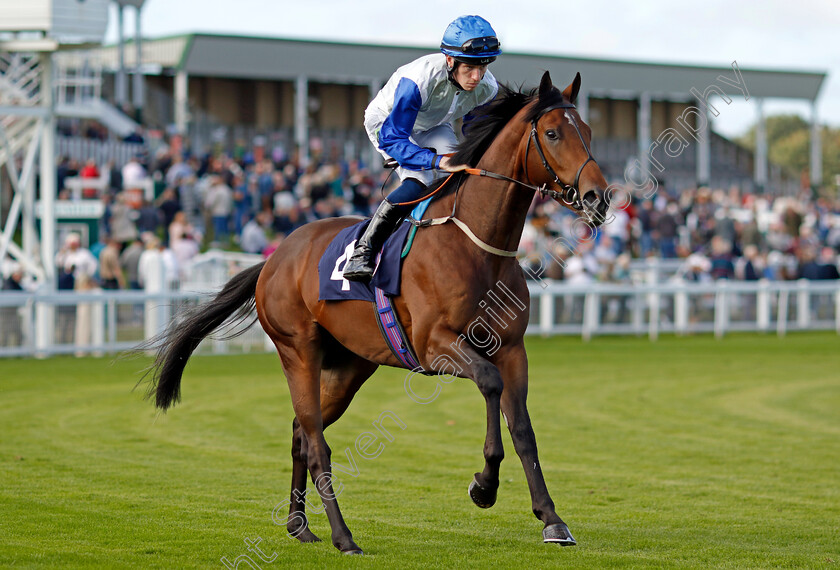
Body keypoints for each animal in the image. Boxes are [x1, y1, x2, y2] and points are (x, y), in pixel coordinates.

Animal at [148, 70, 612, 552]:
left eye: (588, 131)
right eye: (553, 133)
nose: (598, 197)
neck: (475, 245)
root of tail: (275, 258)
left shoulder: (512, 348)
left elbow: (523, 430)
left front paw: (551, 519)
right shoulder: (436, 347)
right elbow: (489, 383)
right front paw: (484, 486)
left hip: (349, 366)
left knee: (300, 432)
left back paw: (299, 525)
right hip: (298, 351)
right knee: (316, 443)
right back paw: (343, 536)